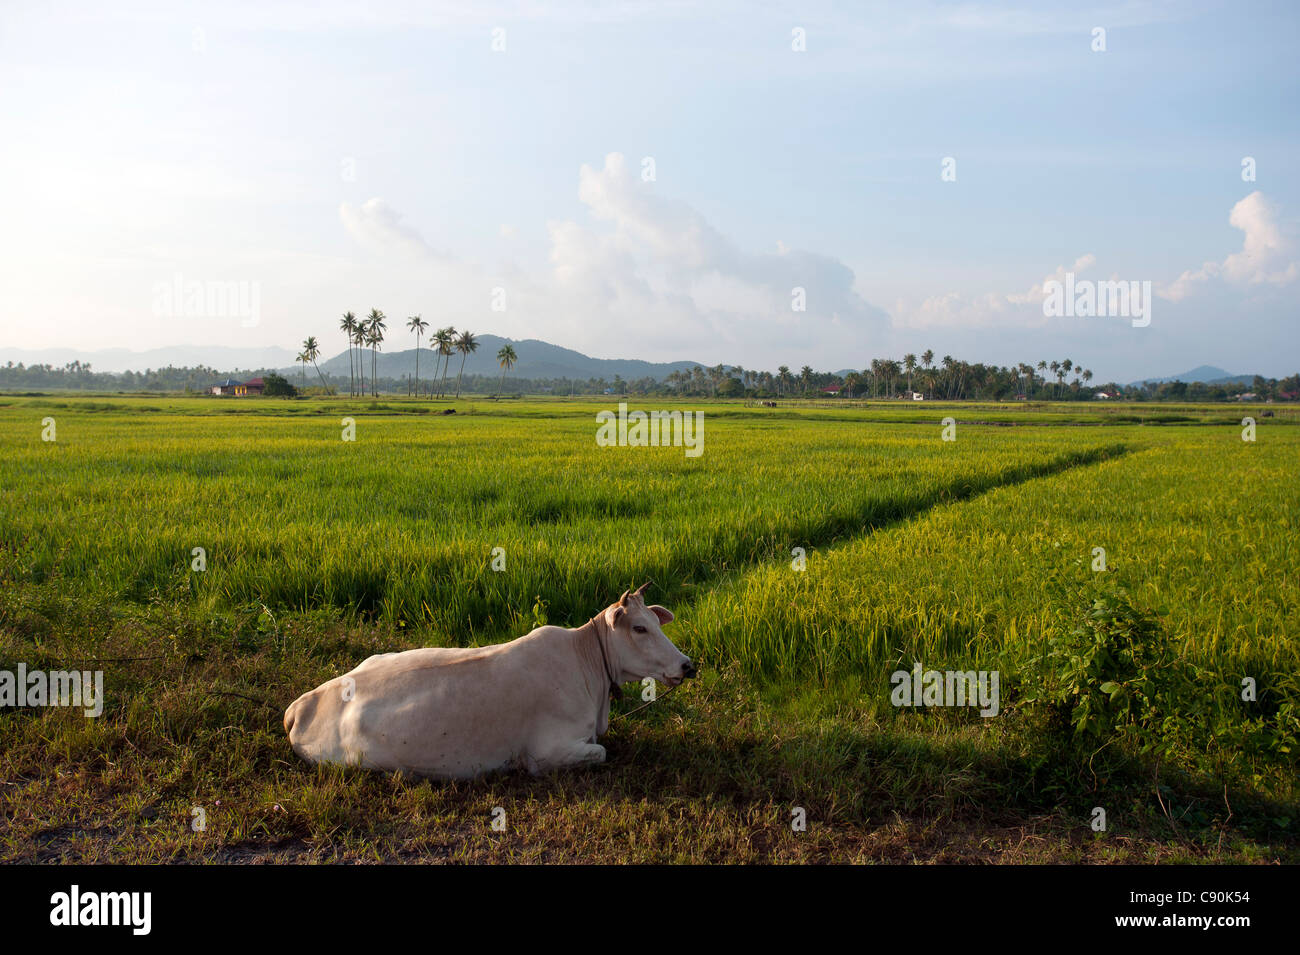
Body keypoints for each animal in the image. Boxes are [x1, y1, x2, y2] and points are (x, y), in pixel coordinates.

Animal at [282, 587, 691, 779]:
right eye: (639, 628)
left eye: (654, 623)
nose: (688, 665)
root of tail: (303, 702)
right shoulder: (548, 751)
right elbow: (600, 752)